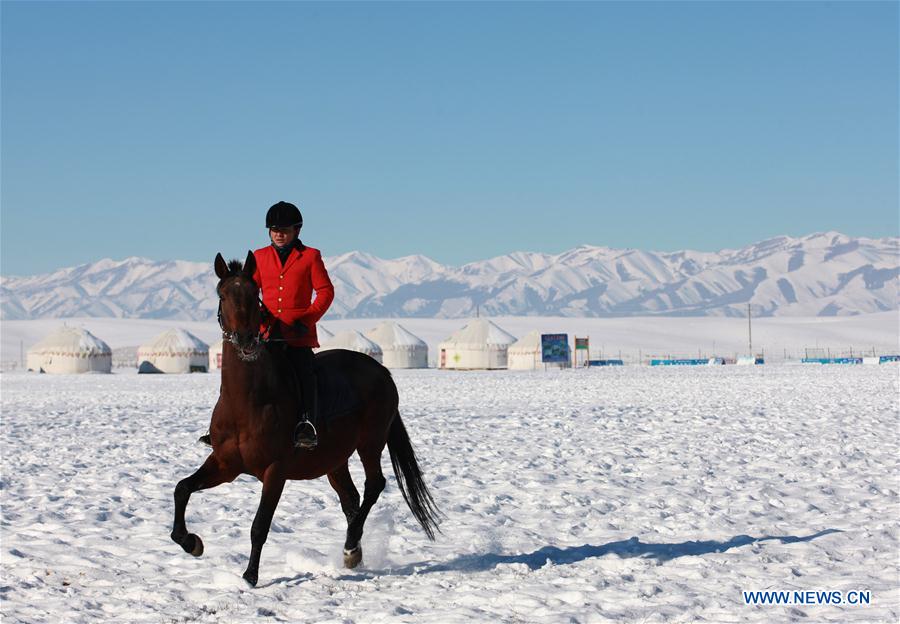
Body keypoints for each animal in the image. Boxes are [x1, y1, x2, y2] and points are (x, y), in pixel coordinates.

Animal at [170, 251, 440, 586]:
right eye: (223, 295)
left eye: (254, 294)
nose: (246, 340)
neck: (246, 401)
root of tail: (382, 371)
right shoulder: (225, 464)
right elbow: (182, 488)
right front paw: (191, 542)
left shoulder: (275, 471)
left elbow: (259, 525)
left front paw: (249, 576)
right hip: (334, 459)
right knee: (351, 499)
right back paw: (354, 551)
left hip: (370, 443)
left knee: (374, 485)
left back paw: (350, 546)